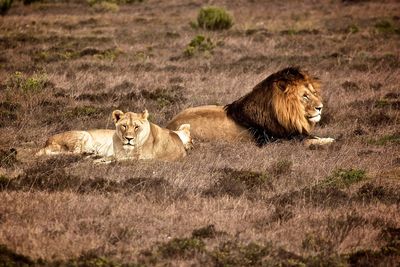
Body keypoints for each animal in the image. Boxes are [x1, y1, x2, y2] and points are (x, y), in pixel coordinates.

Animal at [37, 109, 192, 161]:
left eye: (137, 127)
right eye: (124, 126)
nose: (192, 147)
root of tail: (46, 141)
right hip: (84, 134)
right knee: (73, 152)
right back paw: (90, 153)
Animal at [166, 67, 334, 147]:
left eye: (313, 93)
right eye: (304, 96)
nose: (321, 107)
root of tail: (168, 125)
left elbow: (313, 137)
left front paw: (328, 138)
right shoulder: (276, 141)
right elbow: (309, 141)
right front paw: (329, 141)